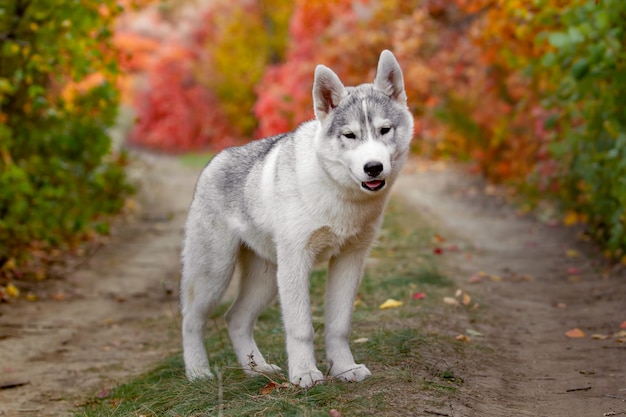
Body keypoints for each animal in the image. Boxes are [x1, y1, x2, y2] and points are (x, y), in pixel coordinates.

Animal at [180, 50, 412, 388]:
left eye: (384, 130)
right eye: (350, 135)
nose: (373, 167)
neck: (336, 191)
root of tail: (215, 160)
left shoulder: (350, 260)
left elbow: (339, 326)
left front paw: (344, 369)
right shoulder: (297, 261)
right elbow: (302, 328)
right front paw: (305, 374)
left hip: (265, 279)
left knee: (235, 319)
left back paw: (257, 369)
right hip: (216, 274)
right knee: (191, 320)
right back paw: (198, 372)